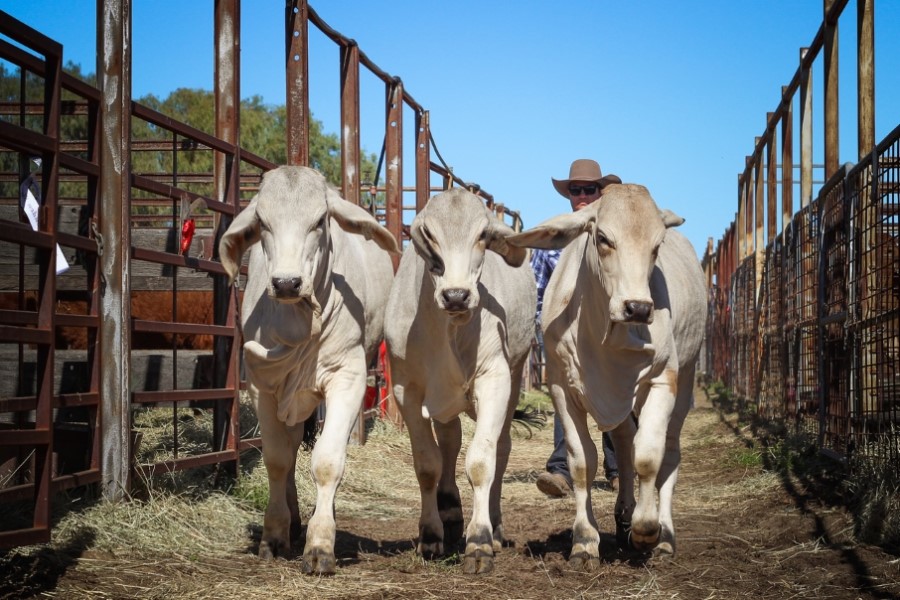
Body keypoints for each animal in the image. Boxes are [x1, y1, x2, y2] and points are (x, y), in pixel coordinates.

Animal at [218, 165, 398, 576]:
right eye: (263, 222)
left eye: (319, 221)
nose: (286, 282)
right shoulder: (262, 388)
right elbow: (277, 460)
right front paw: (274, 533)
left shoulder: (347, 380)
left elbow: (328, 462)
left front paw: (319, 544)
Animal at [384, 190, 536, 576]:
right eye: (428, 234)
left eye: (483, 234)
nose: (456, 295)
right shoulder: (407, 390)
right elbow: (428, 464)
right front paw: (430, 535)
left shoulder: (494, 380)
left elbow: (481, 463)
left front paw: (479, 541)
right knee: (450, 441)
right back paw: (449, 509)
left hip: (514, 376)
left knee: (500, 448)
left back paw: (494, 527)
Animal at [510, 183, 708, 568]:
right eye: (603, 237)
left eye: (657, 244)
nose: (638, 308)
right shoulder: (563, 388)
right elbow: (583, 461)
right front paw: (585, 541)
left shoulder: (662, 378)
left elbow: (649, 456)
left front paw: (646, 530)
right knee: (625, 442)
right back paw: (624, 515)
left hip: (687, 375)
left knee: (668, 452)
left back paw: (663, 536)